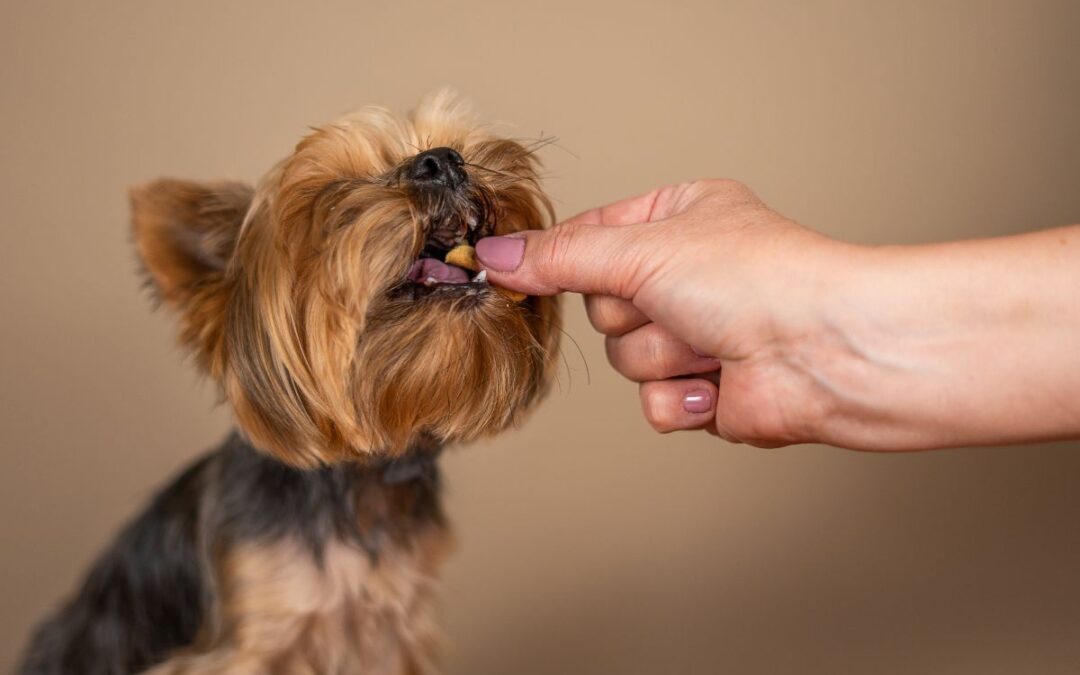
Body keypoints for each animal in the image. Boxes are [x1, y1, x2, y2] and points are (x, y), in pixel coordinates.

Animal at [21, 90, 561, 673]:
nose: (442, 160)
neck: (360, 483)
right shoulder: (252, 639)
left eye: (453, 145)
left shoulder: (397, 635)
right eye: (333, 200)